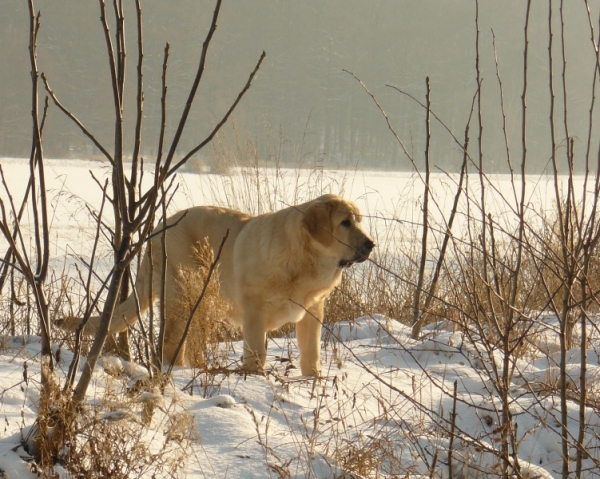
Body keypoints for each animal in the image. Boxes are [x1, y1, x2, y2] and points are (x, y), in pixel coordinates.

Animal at [62, 193, 370, 376]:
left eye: (359, 221)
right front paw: (256, 378)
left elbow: (311, 353)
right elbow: (256, 353)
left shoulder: (312, 312)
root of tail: (156, 230)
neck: (305, 260)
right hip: (183, 296)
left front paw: (312, 382)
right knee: (172, 345)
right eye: (345, 223)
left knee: (191, 345)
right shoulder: (254, 313)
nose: (371, 244)